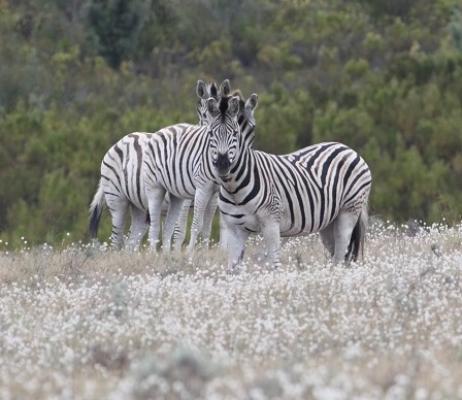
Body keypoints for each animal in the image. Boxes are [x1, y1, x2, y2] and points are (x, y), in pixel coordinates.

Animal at [88, 79, 226, 250]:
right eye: (204, 114)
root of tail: (119, 142)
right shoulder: (184, 199)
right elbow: (179, 233)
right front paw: (176, 254)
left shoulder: (212, 199)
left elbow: (206, 230)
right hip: (116, 197)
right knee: (117, 239)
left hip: (139, 205)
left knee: (131, 240)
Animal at [206, 94, 372, 268]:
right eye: (210, 133)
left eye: (235, 134)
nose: (223, 164)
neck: (234, 188)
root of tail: (348, 148)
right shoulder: (234, 229)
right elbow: (233, 268)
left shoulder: (271, 221)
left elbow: (272, 264)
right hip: (329, 221)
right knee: (339, 256)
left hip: (349, 210)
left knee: (341, 255)